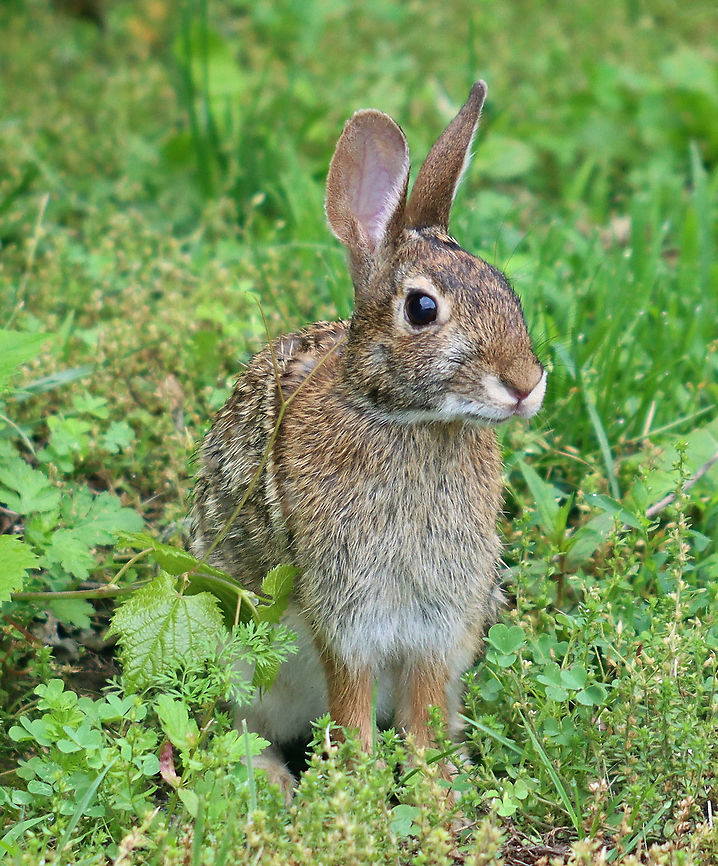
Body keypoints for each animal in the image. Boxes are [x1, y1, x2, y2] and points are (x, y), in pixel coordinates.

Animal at [189, 81, 546, 796]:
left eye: (508, 292)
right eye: (421, 308)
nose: (525, 385)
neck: (405, 421)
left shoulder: (441, 620)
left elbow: (425, 715)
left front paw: (438, 796)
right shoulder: (345, 614)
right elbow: (350, 704)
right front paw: (355, 794)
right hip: (238, 653)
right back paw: (274, 783)